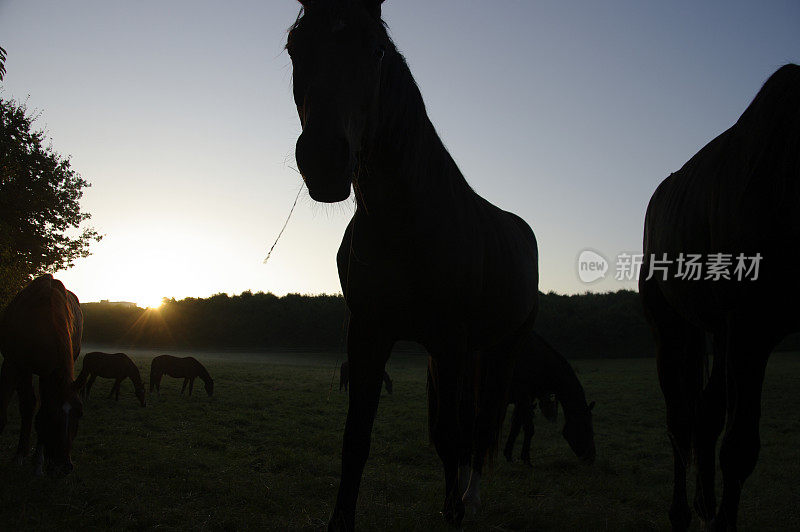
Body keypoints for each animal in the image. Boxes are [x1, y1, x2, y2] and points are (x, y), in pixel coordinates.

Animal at [0, 274, 83, 474]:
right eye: (54, 414)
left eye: (80, 413)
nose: (63, 466)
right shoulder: (16, 366)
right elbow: (24, 407)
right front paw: (22, 456)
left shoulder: (48, 373)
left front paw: (38, 461)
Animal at [506, 330, 592, 468]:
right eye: (587, 427)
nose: (591, 457)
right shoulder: (523, 396)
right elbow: (529, 428)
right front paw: (526, 459)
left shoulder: (524, 399)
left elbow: (515, 427)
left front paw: (508, 455)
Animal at [640, 64, 800, 528]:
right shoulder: (750, 326)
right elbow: (740, 449)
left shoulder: (742, 332)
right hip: (673, 329)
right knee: (681, 421)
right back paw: (681, 512)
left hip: (723, 334)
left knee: (705, 415)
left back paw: (705, 505)